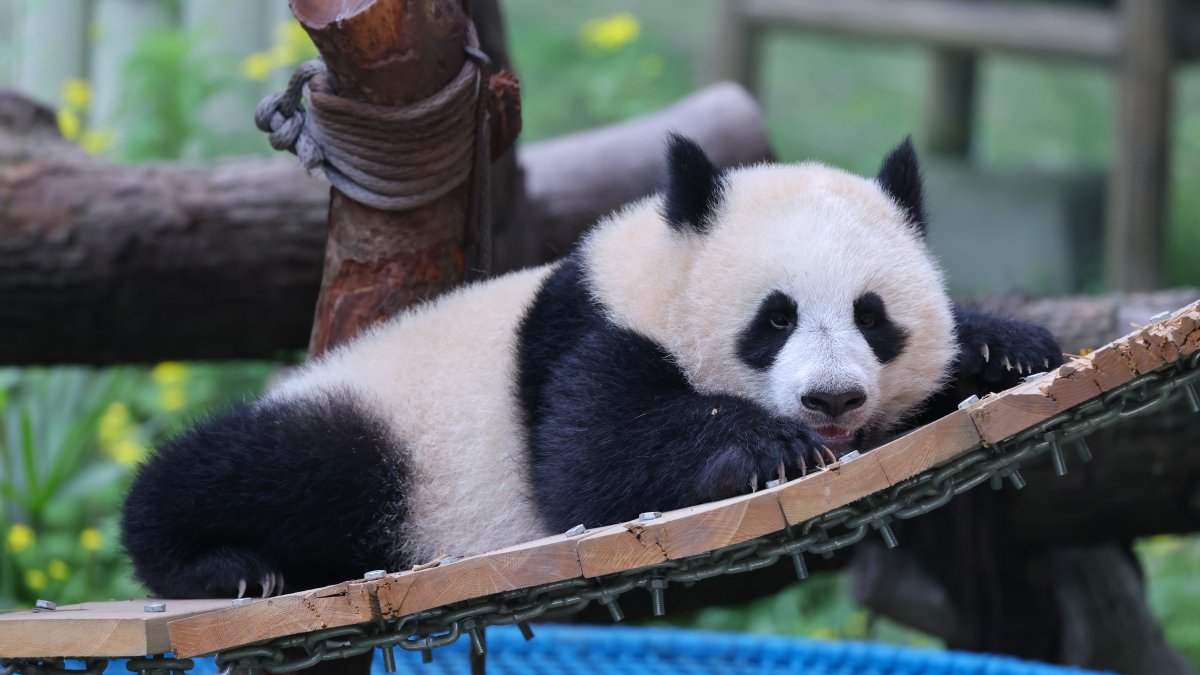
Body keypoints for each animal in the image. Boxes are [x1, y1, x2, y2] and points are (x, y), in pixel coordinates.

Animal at [121, 135, 1062, 599]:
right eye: (775, 317)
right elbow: (590, 461)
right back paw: (223, 566)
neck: (661, 268)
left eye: (874, 316)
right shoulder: (589, 334)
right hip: (380, 429)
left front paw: (1008, 347)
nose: (831, 399)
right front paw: (769, 448)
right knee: (277, 465)